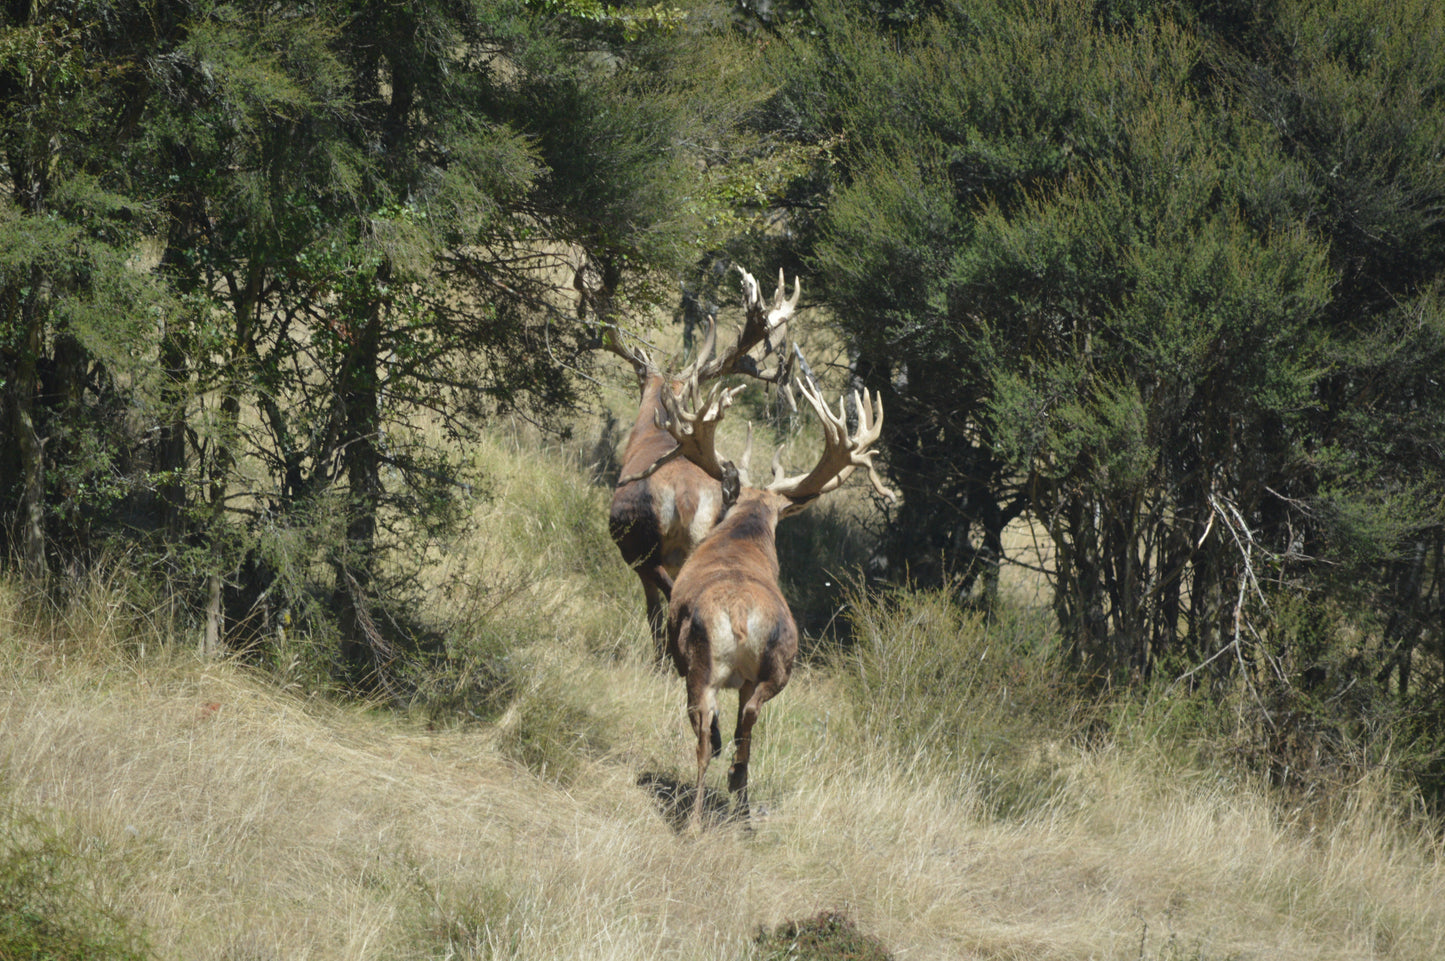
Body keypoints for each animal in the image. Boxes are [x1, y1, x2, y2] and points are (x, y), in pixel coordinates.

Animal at [595, 267, 800, 662]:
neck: (649, 436)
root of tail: (686, 498)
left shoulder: (636, 557)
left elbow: (651, 610)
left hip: (642, 549)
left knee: (665, 602)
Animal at [649, 371, 896, 827]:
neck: (740, 540)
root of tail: (740, 618)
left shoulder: (678, 654)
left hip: (699, 664)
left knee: (705, 738)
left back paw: (694, 821)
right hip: (780, 666)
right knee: (748, 728)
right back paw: (741, 805)